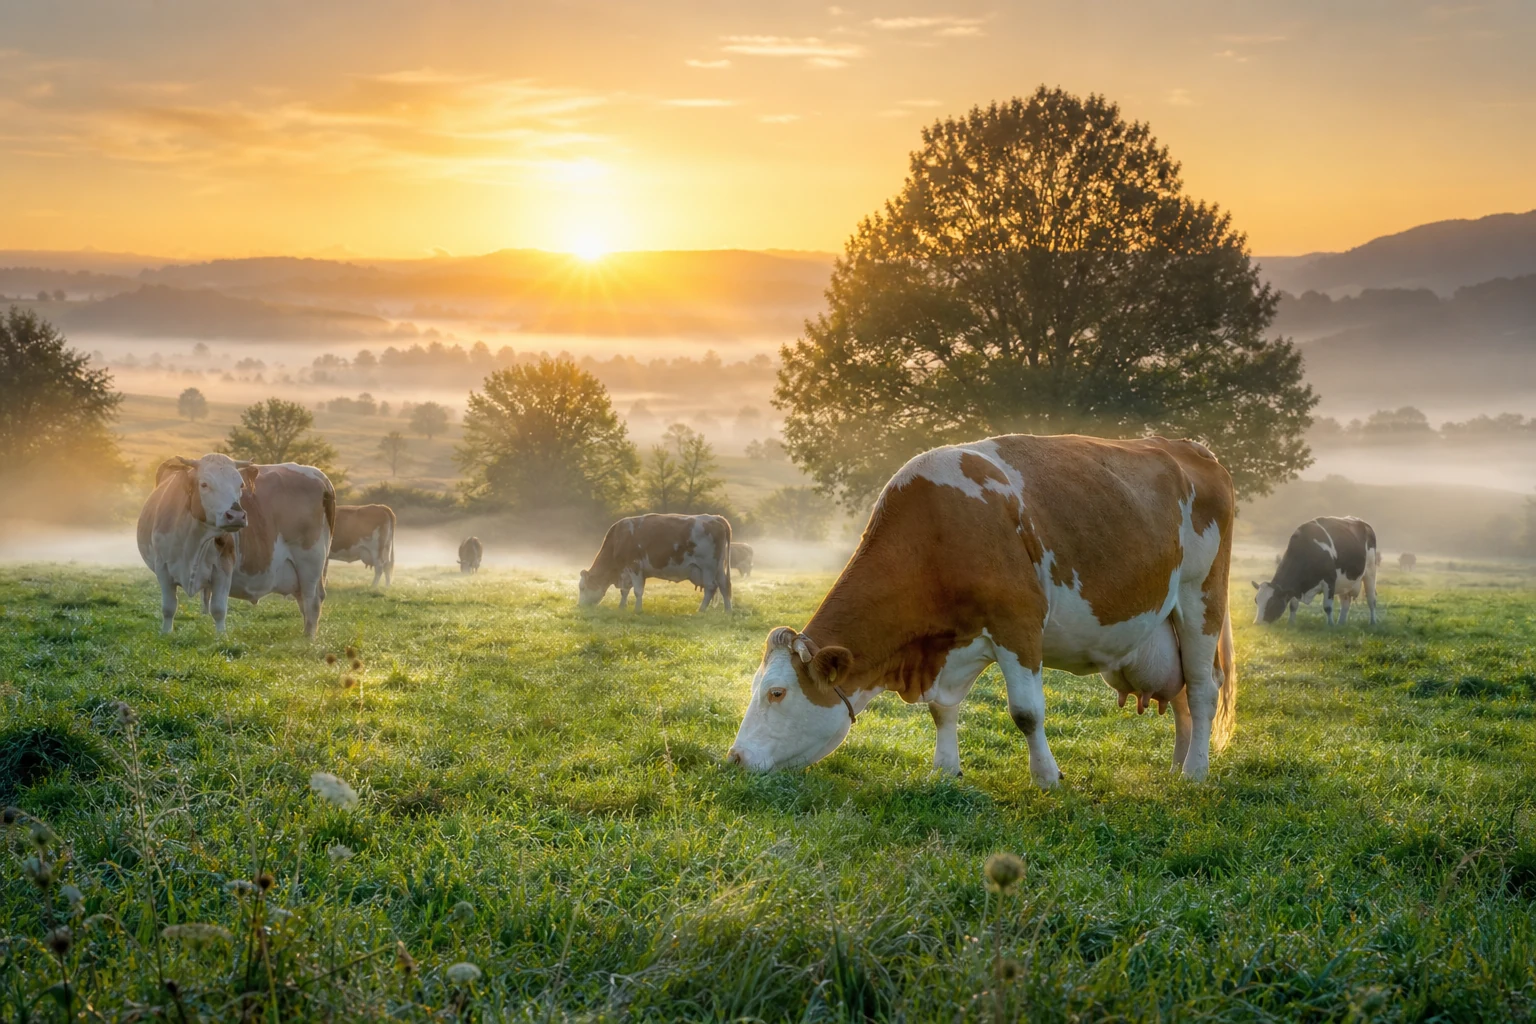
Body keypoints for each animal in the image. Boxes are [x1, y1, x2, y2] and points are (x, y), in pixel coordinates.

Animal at [137, 454, 336, 638]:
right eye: (204, 484)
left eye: (240, 485)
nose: (237, 515)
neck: (193, 539)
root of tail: (316, 473)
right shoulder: (162, 567)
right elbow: (168, 607)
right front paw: (165, 634)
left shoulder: (223, 567)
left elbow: (218, 608)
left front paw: (220, 638)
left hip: (310, 562)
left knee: (312, 601)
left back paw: (308, 639)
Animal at [580, 514, 732, 613]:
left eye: (582, 588)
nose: (579, 606)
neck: (619, 539)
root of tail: (716, 518)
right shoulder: (627, 572)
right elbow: (625, 591)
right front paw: (622, 607)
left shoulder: (635, 567)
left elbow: (637, 591)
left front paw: (637, 610)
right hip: (718, 568)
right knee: (724, 586)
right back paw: (727, 611)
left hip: (708, 567)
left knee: (711, 587)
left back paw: (701, 610)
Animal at [727, 434, 1237, 784]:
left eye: (776, 693)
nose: (735, 757)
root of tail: (1189, 448)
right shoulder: (953, 645)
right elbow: (942, 710)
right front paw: (945, 769)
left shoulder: (1018, 622)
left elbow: (1026, 712)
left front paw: (1047, 777)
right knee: (1181, 696)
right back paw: (1178, 765)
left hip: (1200, 598)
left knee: (1202, 689)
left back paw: (1195, 773)